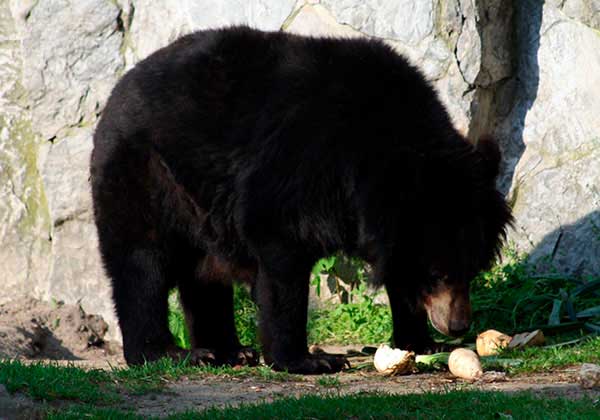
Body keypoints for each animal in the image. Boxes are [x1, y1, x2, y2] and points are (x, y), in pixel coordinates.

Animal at [91, 27, 512, 374]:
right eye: (438, 273)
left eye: (472, 268)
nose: (457, 324)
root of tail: (117, 91)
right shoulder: (303, 164)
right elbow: (281, 248)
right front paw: (309, 360)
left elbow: (397, 269)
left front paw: (418, 342)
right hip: (147, 173)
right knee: (142, 262)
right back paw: (168, 352)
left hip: (199, 202)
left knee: (204, 272)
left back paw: (228, 351)